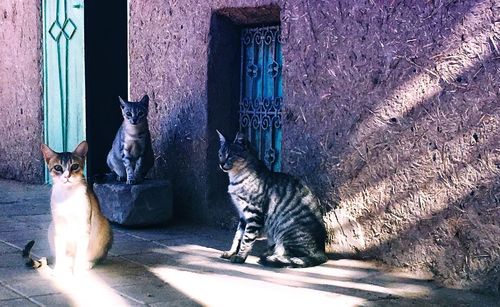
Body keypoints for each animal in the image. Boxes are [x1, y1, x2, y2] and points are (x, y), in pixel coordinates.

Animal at [31, 142, 113, 274]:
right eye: (58, 167)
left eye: (74, 166)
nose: (67, 176)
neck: (68, 195)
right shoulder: (59, 227)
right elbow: (60, 251)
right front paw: (58, 270)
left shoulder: (84, 226)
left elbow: (81, 252)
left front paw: (78, 269)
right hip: (52, 227)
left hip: (103, 225)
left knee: (97, 257)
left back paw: (87, 263)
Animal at [218, 131, 328, 268]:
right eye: (220, 154)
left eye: (230, 155)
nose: (221, 163)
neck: (235, 178)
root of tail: (321, 251)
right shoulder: (242, 216)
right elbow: (237, 237)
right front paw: (231, 252)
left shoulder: (253, 214)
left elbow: (246, 239)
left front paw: (240, 256)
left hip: (286, 231)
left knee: (296, 257)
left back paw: (273, 257)